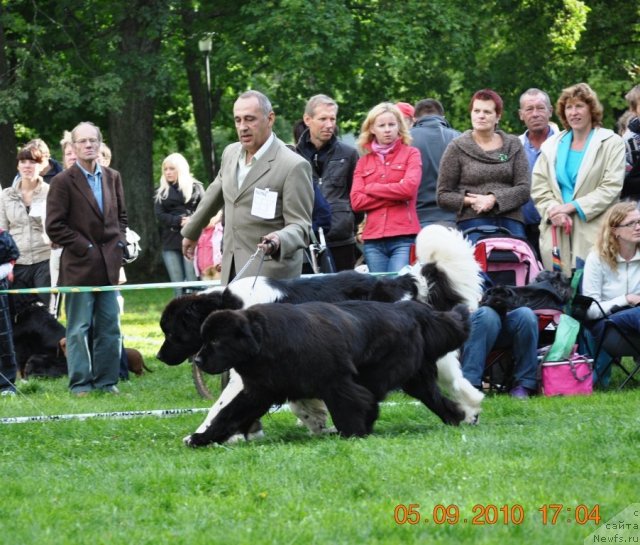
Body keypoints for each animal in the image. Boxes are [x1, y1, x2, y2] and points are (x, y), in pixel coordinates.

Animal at [186, 298, 470, 446]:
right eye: (204, 339)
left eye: (216, 341)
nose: (197, 359)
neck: (266, 343)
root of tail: (410, 309)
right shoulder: (259, 391)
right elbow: (228, 414)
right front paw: (201, 437)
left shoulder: (335, 383)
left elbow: (349, 405)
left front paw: (353, 433)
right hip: (413, 378)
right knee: (435, 398)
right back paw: (458, 417)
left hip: (380, 370)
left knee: (371, 399)